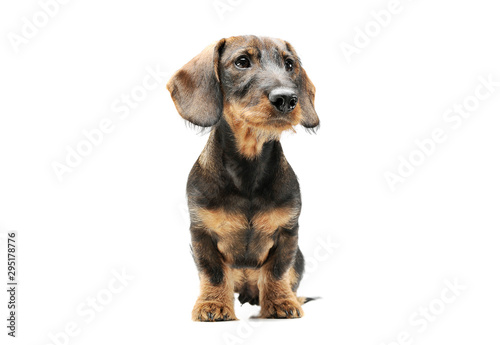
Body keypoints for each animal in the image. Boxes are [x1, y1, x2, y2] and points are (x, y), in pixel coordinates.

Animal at [166, 35, 318, 320]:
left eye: (289, 64)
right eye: (242, 62)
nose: (287, 99)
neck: (248, 171)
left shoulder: (288, 233)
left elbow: (277, 272)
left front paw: (281, 302)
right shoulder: (201, 234)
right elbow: (213, 274)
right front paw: (213, 304)